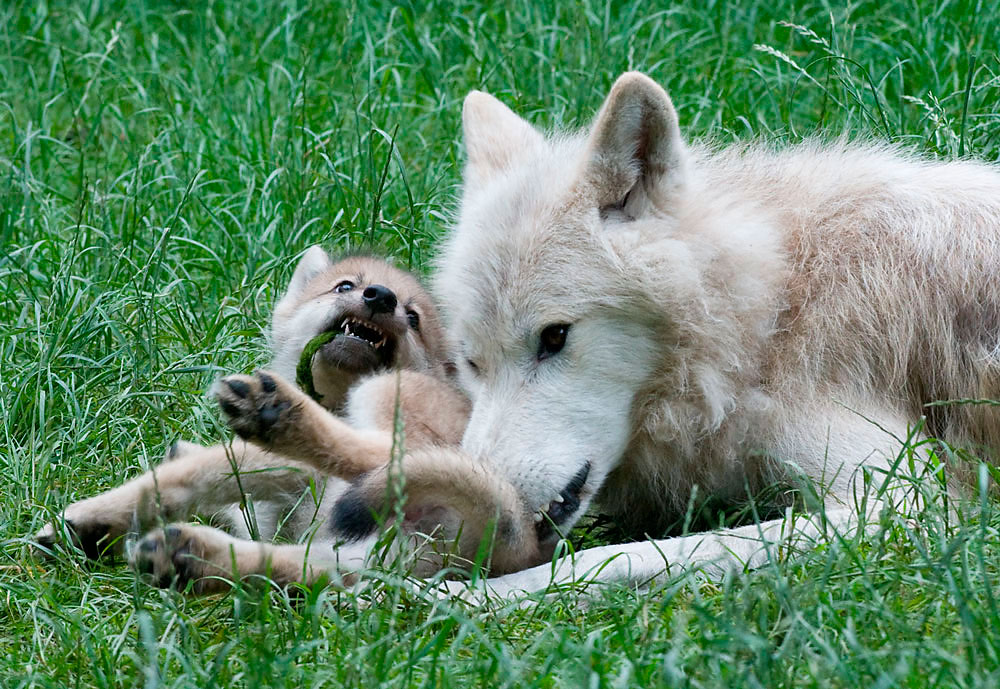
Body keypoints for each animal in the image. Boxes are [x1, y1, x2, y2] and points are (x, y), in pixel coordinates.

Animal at [426, 71, 1000, 596]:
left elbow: (621, 557)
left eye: (554, 337)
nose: (485, 511)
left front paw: (466, 596)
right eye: (471, 362)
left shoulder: (907, 502)